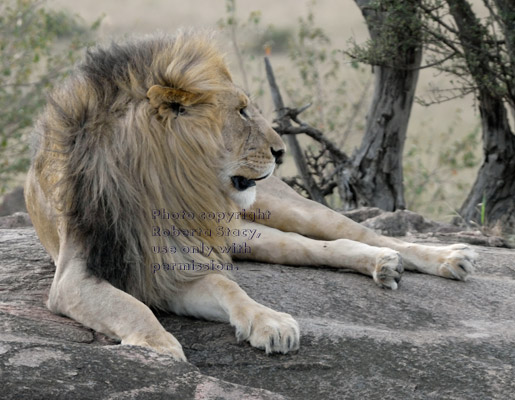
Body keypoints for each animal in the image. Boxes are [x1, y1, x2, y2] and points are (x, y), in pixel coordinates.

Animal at [24, 32, 476, 362]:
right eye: (241, 111)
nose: (280, 151)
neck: (169, 192)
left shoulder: (174, 265)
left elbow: (228, 288)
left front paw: (269, 323)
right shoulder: (79, 276)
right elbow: (135, 307)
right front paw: (160, 348)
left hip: (284, 209)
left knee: (363, 233)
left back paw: (446, 257)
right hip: (247, 236)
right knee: (323, 247)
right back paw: (383, 265)